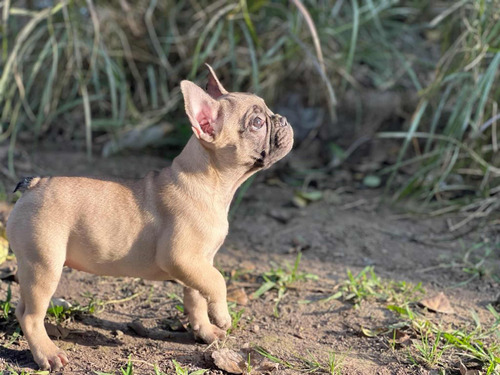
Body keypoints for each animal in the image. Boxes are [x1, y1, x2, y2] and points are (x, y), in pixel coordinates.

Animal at [5, 64, 292, 370]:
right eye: (257, 123)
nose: (284, 120)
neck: (211, 182)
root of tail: (34, 184)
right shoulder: (181, 258)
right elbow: (217, 282)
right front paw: (223, 317)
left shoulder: (197, 264)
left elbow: (196, 297)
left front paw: (204, 331)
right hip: (44, 264)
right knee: (30, 315)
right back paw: (47, 354)